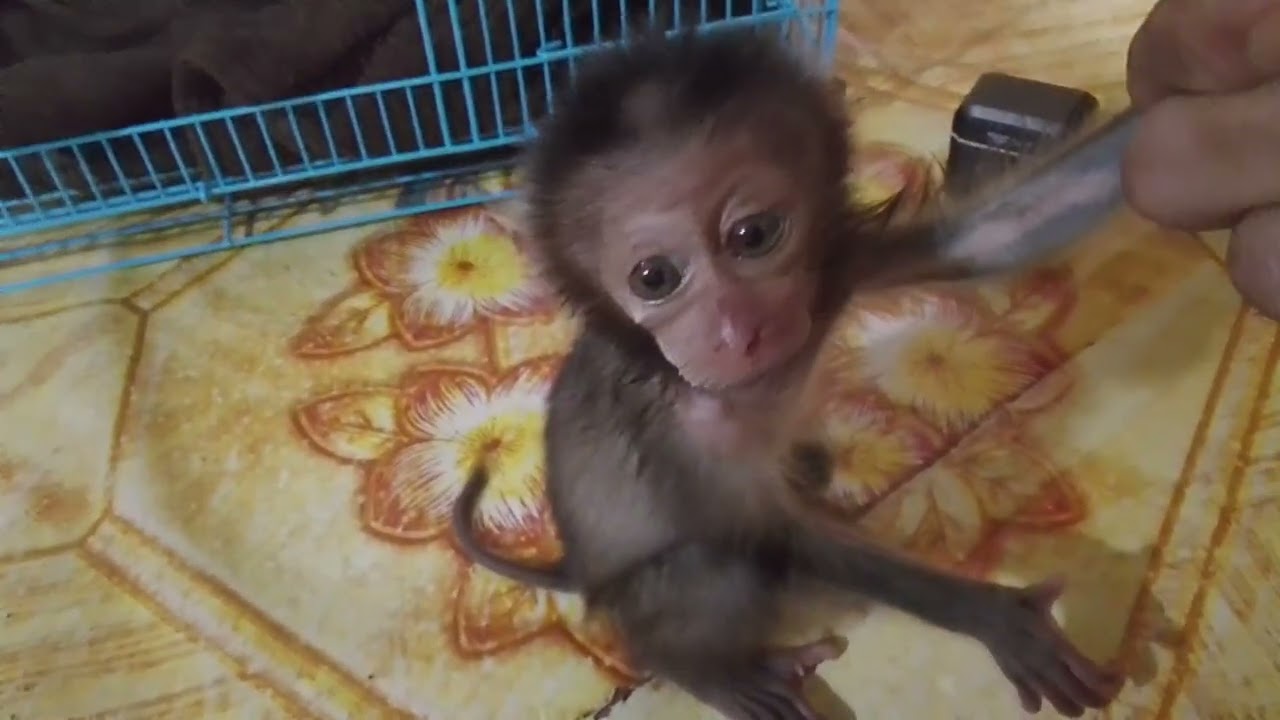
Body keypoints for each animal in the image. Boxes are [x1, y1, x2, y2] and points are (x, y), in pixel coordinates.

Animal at [451, 26, 1133, 720]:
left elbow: (999, 231)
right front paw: (994, 616)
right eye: (654, 278)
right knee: (713, 565)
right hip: (636, 595)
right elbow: (771, 534)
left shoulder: (838, 266)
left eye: (753, 236)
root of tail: (582, 568)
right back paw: (710, 671)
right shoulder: (681, 436)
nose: (735, 331)